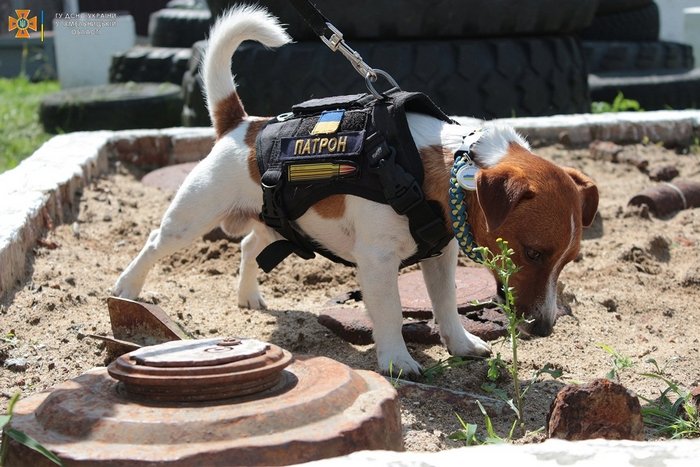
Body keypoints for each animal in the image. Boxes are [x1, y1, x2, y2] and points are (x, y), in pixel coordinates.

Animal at [113, 5, 596, 378]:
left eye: (569, 261)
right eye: (532, 252)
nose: (544, 329)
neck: (445, 164)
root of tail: (242, 124)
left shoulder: (440, 256)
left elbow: (444, 305)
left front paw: (460, 345)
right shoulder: (377, 262)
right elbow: (390, 312)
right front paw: (398, 361)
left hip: (277, 217)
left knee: (250, 244)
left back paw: (248, 295)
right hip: (192, 217)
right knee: (154, 245)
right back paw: (125, 289)